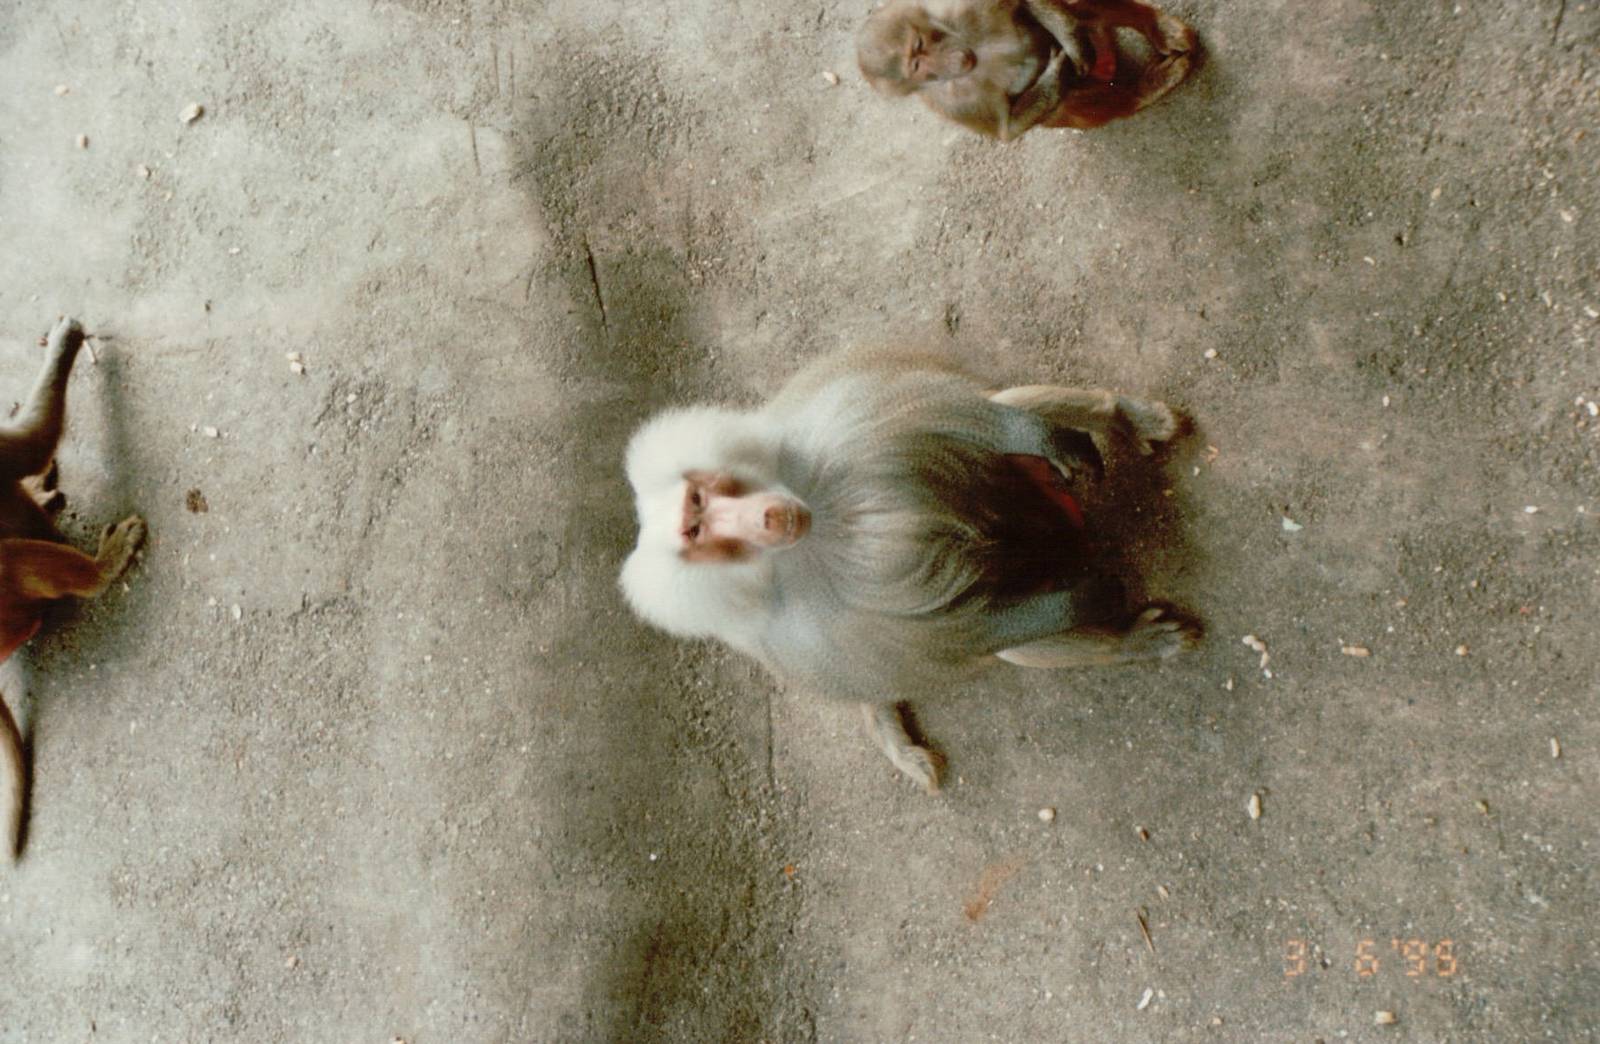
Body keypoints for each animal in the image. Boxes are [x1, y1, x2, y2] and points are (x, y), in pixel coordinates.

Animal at [619, 350, 1199, 792]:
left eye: (699, 499)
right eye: (696, 530)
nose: (767, 518)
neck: (823, 525)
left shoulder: (823, 435)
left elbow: (943, 416)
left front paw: (1057, 439)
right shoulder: (808, 634)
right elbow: (964, 629)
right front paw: (1096, 597)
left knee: (996, 410)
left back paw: (1124, 419)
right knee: (1015, 642)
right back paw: (1133, 641)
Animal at [856, 0, 1199, 141]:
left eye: (918, 48)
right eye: (916, 69)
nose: (947, 66)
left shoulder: (956, 7)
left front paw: (1070, 42)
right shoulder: (955, 103)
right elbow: (1009, 128)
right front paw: (1058, 70)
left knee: (1079, 10)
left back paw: (1156, 29)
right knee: (1069, 104)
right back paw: (1146, 87)